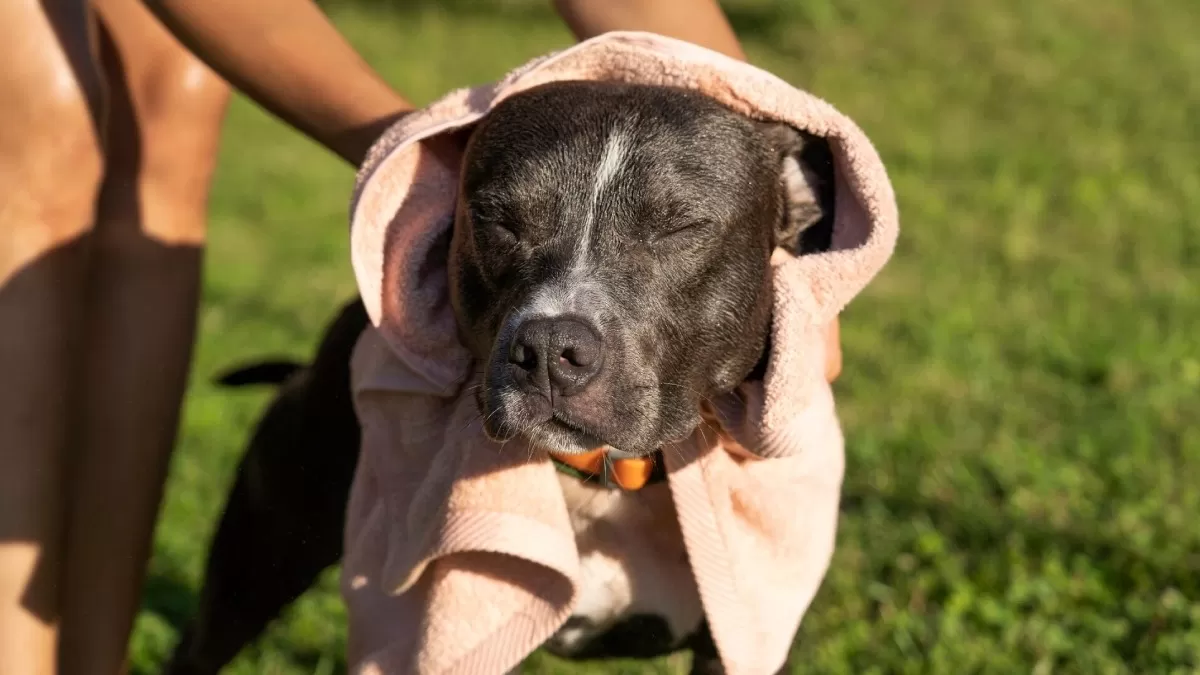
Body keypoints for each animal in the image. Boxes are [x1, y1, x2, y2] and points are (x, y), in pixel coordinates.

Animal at [164, 79, 830, 672]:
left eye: (680, 228)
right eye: (497, 220)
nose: (550, 349)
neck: (600, 482)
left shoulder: (739, 643)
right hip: (256, 563)